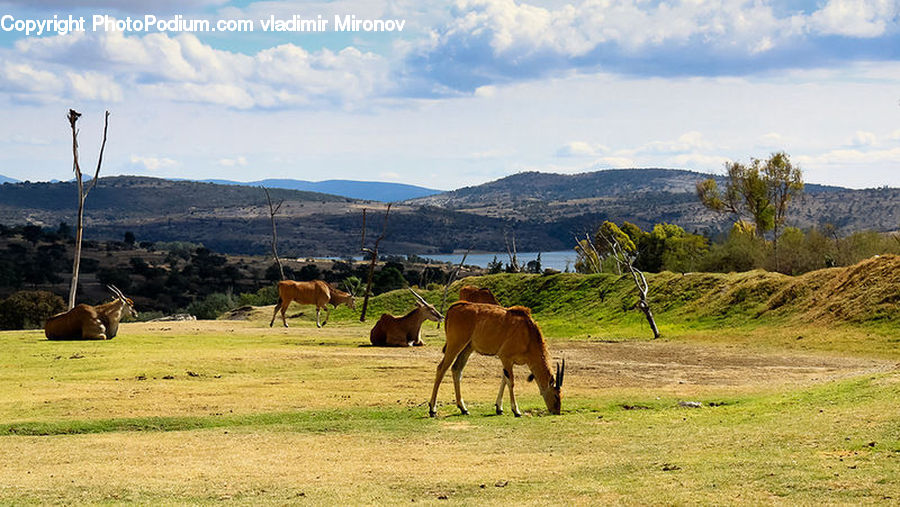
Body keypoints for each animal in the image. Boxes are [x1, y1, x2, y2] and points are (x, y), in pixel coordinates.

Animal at [428, 301, 564, 417]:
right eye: (556, 395)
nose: (556, 411)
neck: (528, 333)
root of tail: (455, 307)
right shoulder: (505, 357)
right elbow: (511, 382)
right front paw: (516, 410)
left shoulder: (507, 362)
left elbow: (504, 379)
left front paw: (499, 408)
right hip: (455, 345)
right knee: (441, 368)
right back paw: (432, 409)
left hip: (467, 348)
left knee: (456, 369)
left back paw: (463, 408)